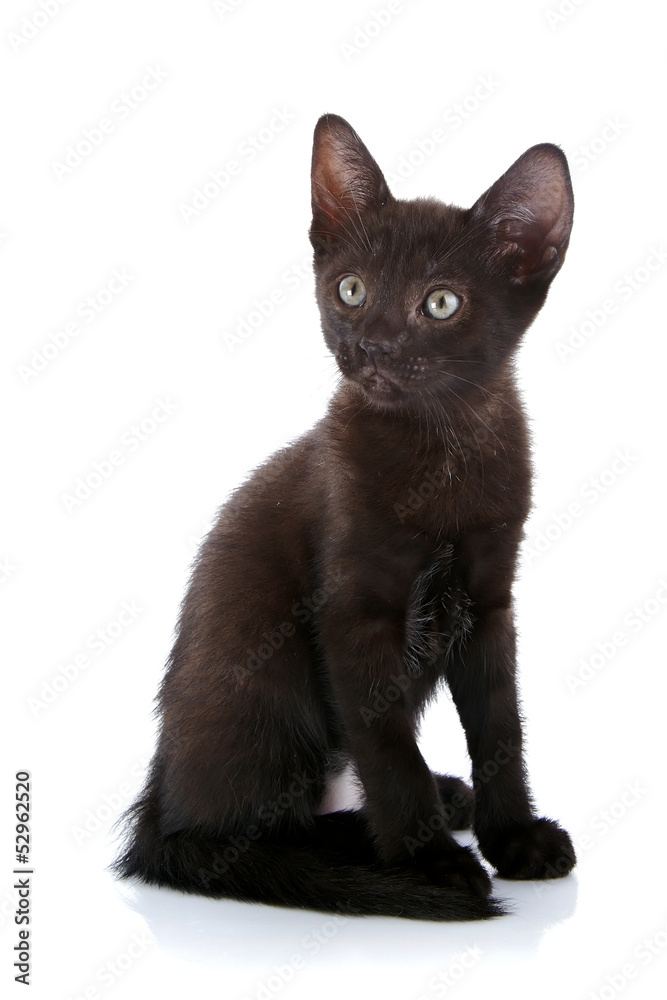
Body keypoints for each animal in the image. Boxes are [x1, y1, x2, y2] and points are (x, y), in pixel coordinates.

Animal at [113, 113, 576, 916]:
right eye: (351, 290)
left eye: (441, 302)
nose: (372, 346)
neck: (440, 451)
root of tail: (155, 805)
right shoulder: (353, 614)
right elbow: (387, 746)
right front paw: (428, 862)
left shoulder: (490, 605)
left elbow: (500, 729)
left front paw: (515, 838)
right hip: (267, 682)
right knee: (240, 833)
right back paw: (365, 847)